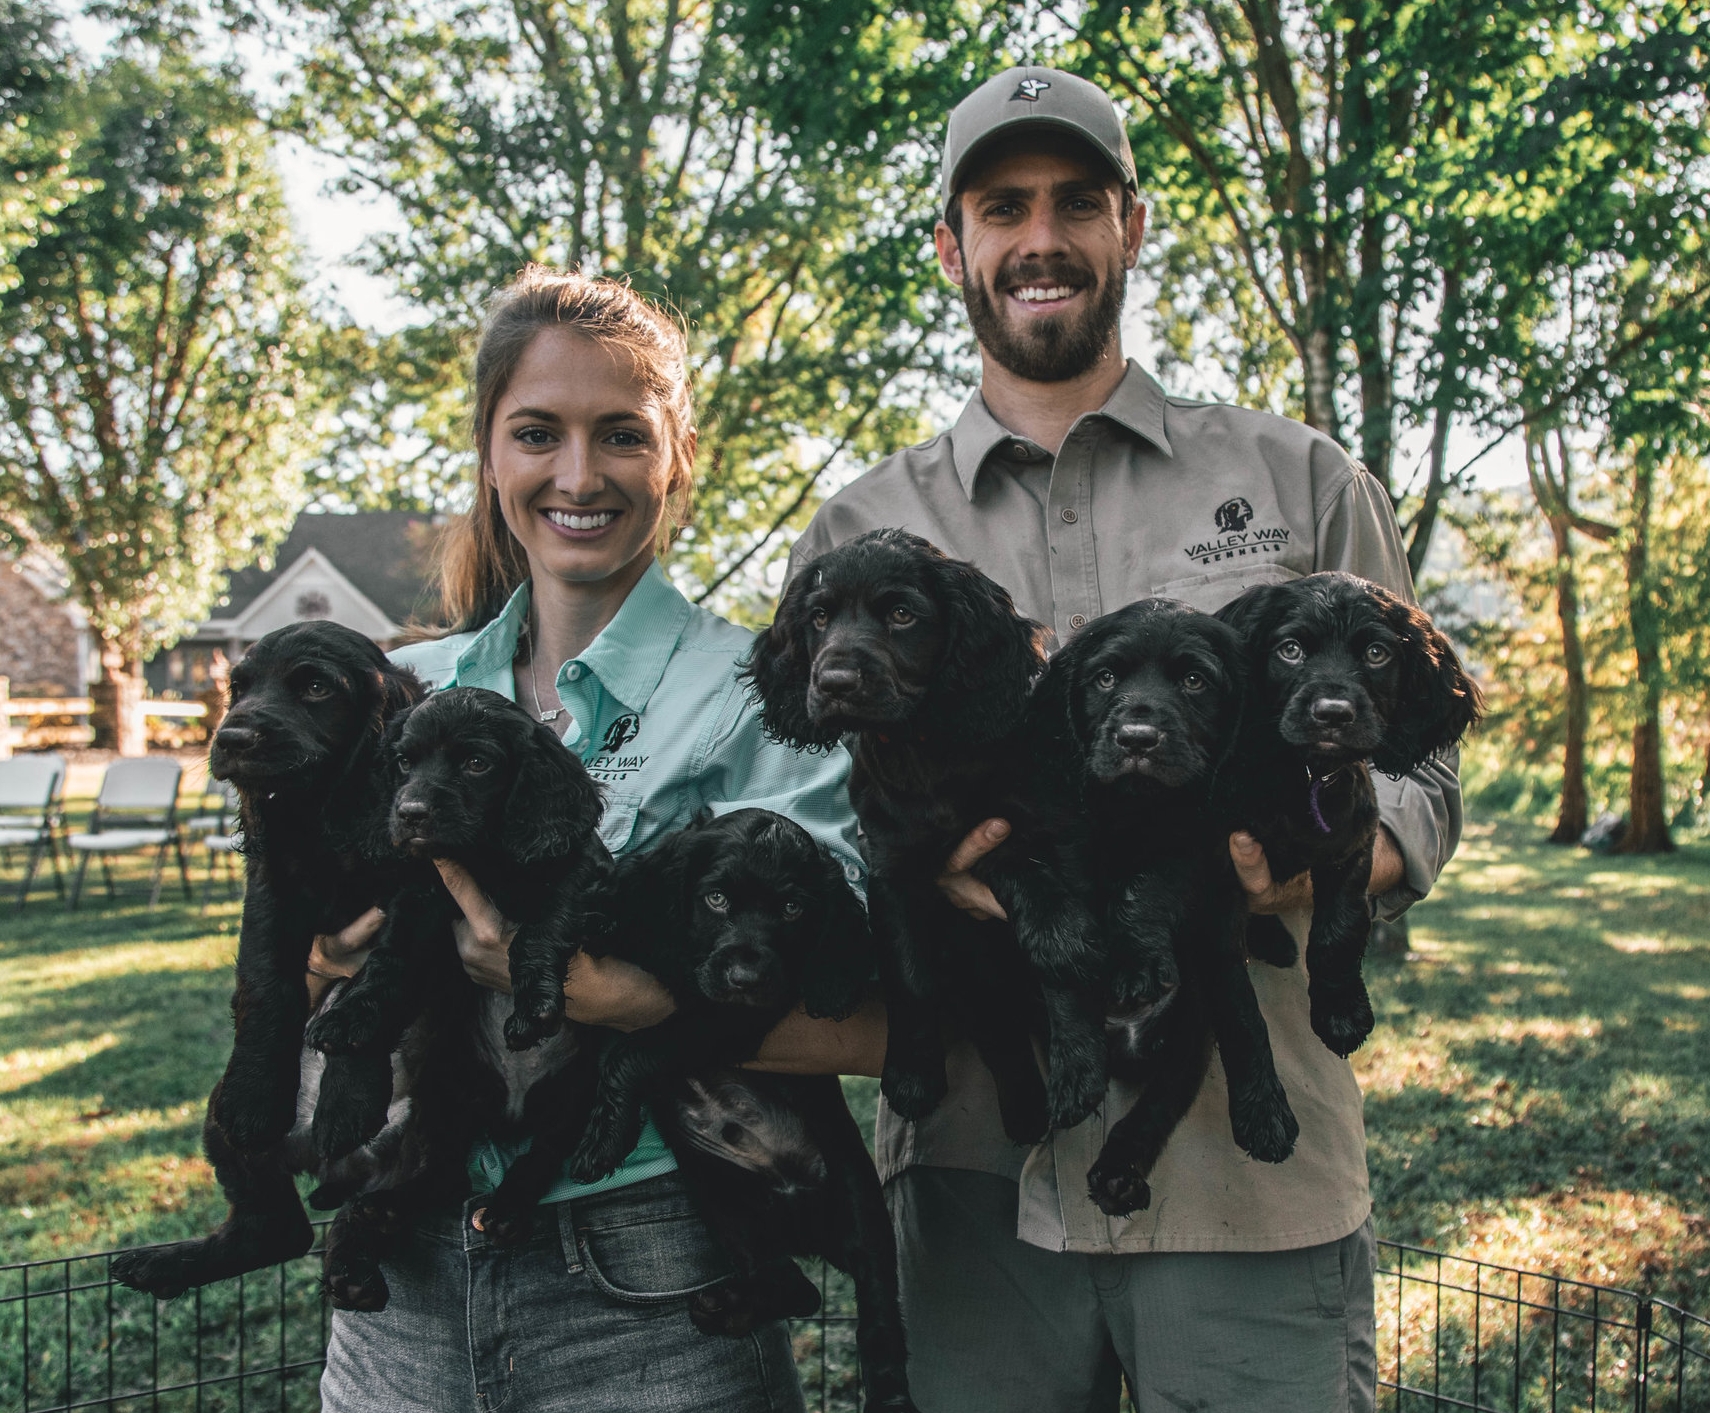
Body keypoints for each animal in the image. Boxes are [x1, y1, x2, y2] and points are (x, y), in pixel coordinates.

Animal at [112, 622, 425, 1306]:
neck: (327, 812)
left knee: (381, 1204)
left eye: (316, 687)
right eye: (239, 686)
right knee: (276, 1230)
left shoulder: (422, 883)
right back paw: (164, 1265)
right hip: (219, 1127)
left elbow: (379, 976)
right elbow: (266, 983)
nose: (231, 738)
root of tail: (326, 1163)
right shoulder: (272, 886)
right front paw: (257, 1091)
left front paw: (347, 1096)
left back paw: (354, 1265)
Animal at [307, 687, 615, 1238]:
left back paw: (507, 1207)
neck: (485, 856)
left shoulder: (576, 866)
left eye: (477, 763)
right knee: (447, 1175)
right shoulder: (421, 894)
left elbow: (541, 928)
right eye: (404, 763)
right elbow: (389, 962)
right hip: (444, 1098)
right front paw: (349, 1016)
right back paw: (389, 1205)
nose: (410, 813)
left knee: (542, 1154)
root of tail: (512, 1112)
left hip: (574, 1096)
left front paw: (533, 1007)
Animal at [748, 526, 1108, 1135]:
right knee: (998, 1033)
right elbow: (909, 978)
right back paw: (1024, 1113)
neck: (924, 750)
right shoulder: (893, 872)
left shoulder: (1058, 835)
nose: (834, 682)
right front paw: (912, 1076)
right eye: (818, 617)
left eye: (901, 614)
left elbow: (1059, 956)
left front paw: (1079, 1068)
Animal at [1026, 598, 1292, 1211]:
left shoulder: (1201, 842)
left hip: (1191, 1029)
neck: (1134, 808)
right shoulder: (1060, 835)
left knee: (1166, 1095)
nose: (1137, 738)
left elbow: (1147, 886)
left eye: (1195, 681)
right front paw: (1074, 1066)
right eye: (1104, 678)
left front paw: (1139, 962)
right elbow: (1058, 954)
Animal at [1217, 567, 1484, 1053]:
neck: (1303, 777)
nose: (1333, 713)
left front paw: (1341, 1013)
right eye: (1290, 649)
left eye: (1377, 654)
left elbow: (1337, 932)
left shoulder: (1352, 850)